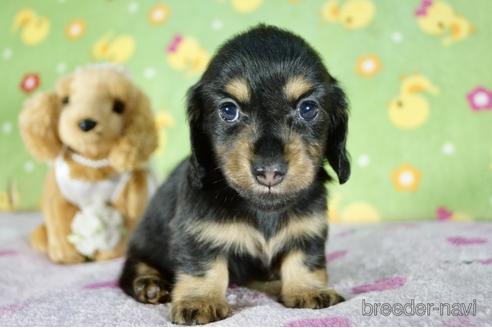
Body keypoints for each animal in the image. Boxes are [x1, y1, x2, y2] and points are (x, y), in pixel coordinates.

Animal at [118, 24, 350, 324]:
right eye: (229, 110)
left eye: (308, 108)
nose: (269, 172)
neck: (262, 210)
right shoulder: (198, 234)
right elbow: (203, 267)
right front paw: (200, 300)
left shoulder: (308, 230)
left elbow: (304, 259)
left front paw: (307, 289)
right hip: (143, 245)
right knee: (134, 269)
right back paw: (149, 284)